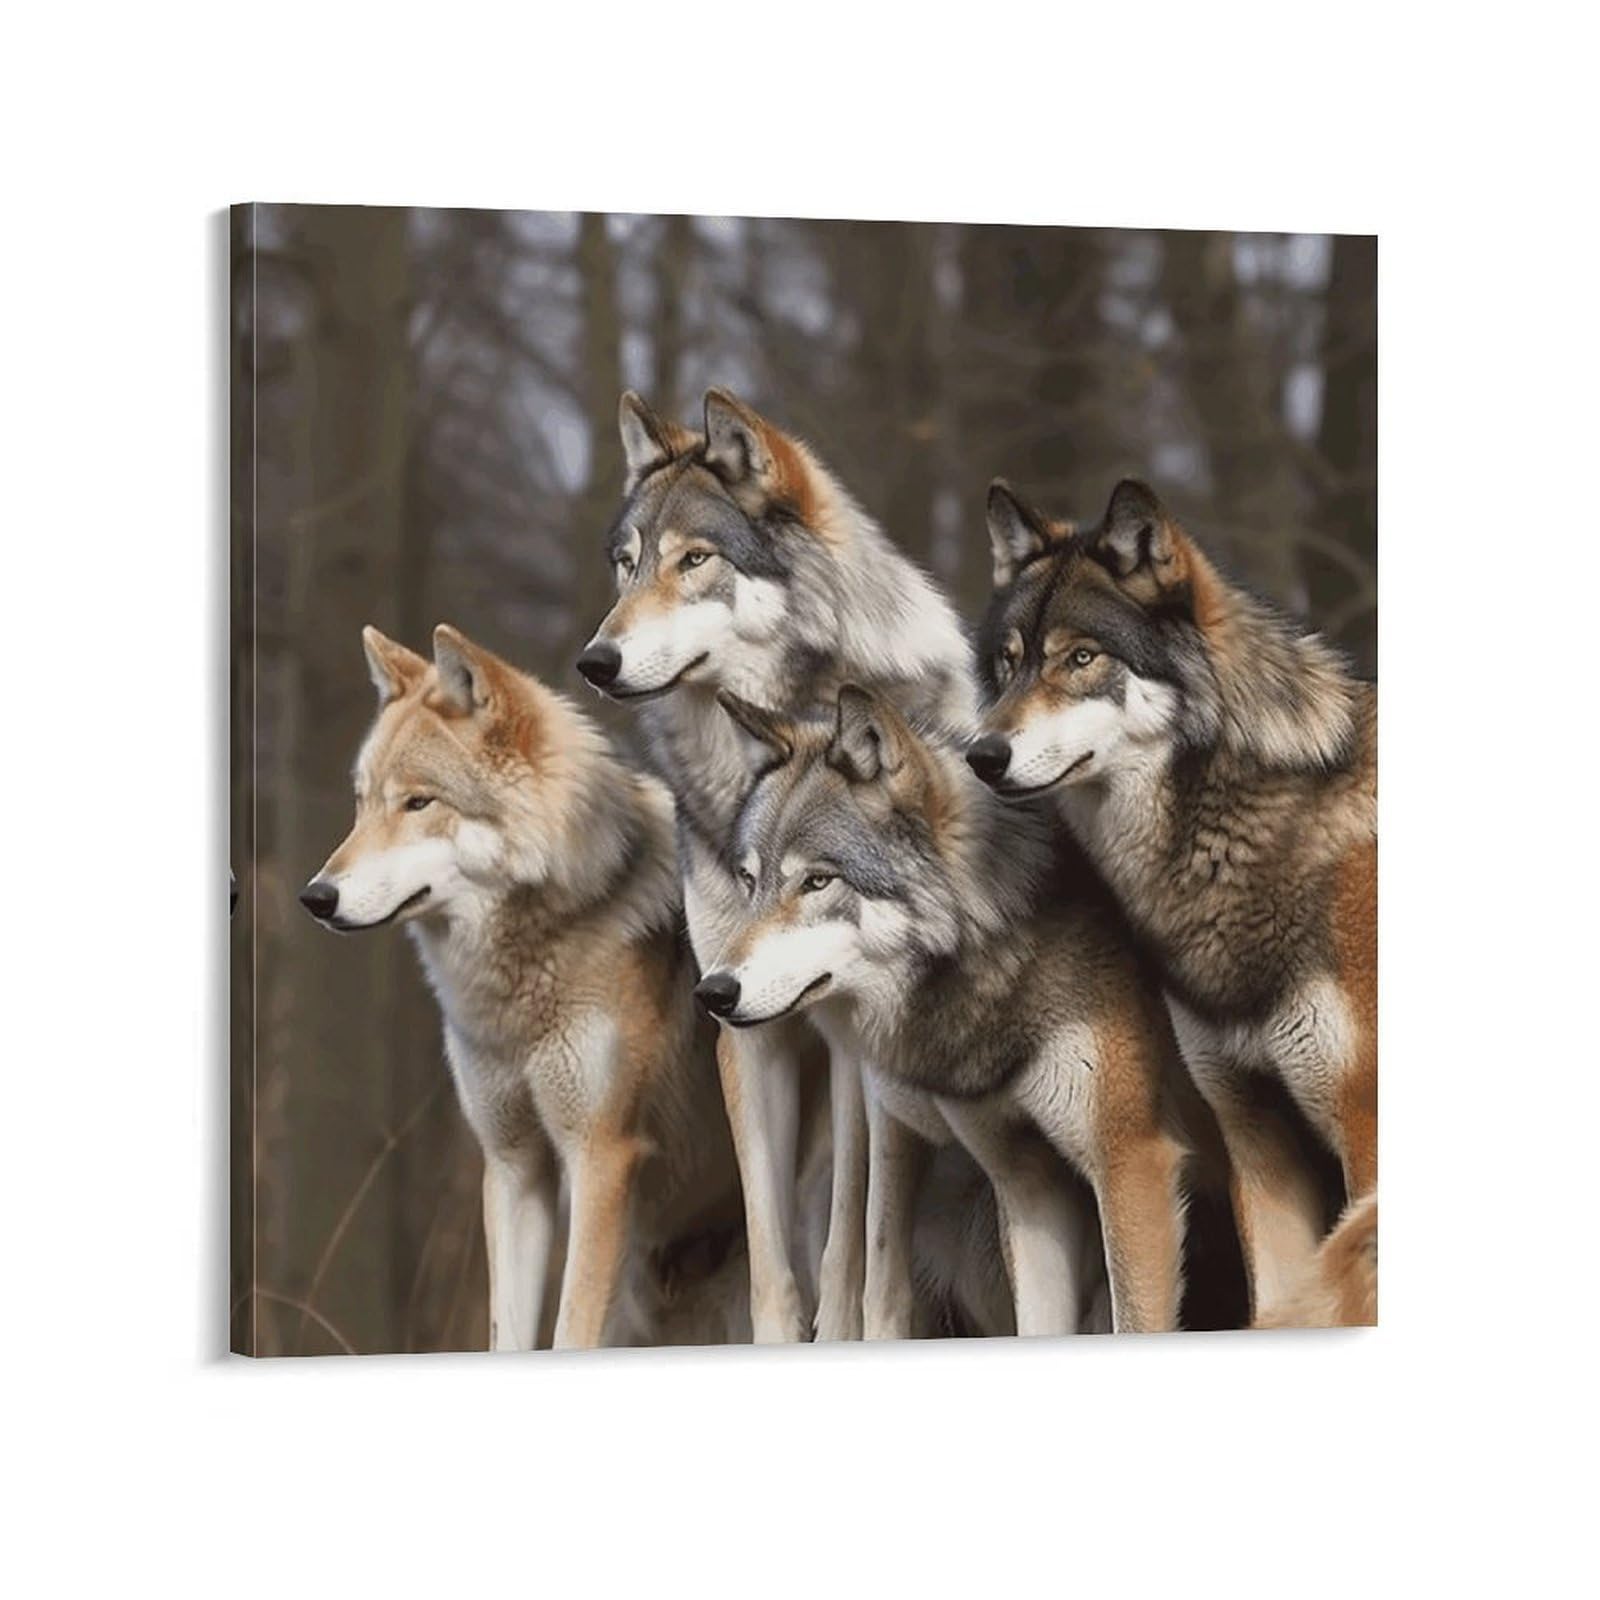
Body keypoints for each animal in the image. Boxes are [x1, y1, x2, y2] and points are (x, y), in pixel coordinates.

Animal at [301, 623, 745, 1351]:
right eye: (362, 804)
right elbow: (506, 1332)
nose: (316, 896)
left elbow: (570, 1330)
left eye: (419, 802)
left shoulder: (601, 1158)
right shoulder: (512, 1166)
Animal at [575, 387, 978, 1341]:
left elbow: (852, 1234)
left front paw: (846, 1330)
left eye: (695, 560)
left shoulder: (856, 1037)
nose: (595, 660)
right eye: (626, 566)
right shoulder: (743, 1021)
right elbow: (769, 1246)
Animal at [696, 686, 1245, 1336]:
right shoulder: (1028, 1183)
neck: (1002, 945)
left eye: (818, 881)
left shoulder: (1132, 1165)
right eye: (748, 881)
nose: (713, 991)